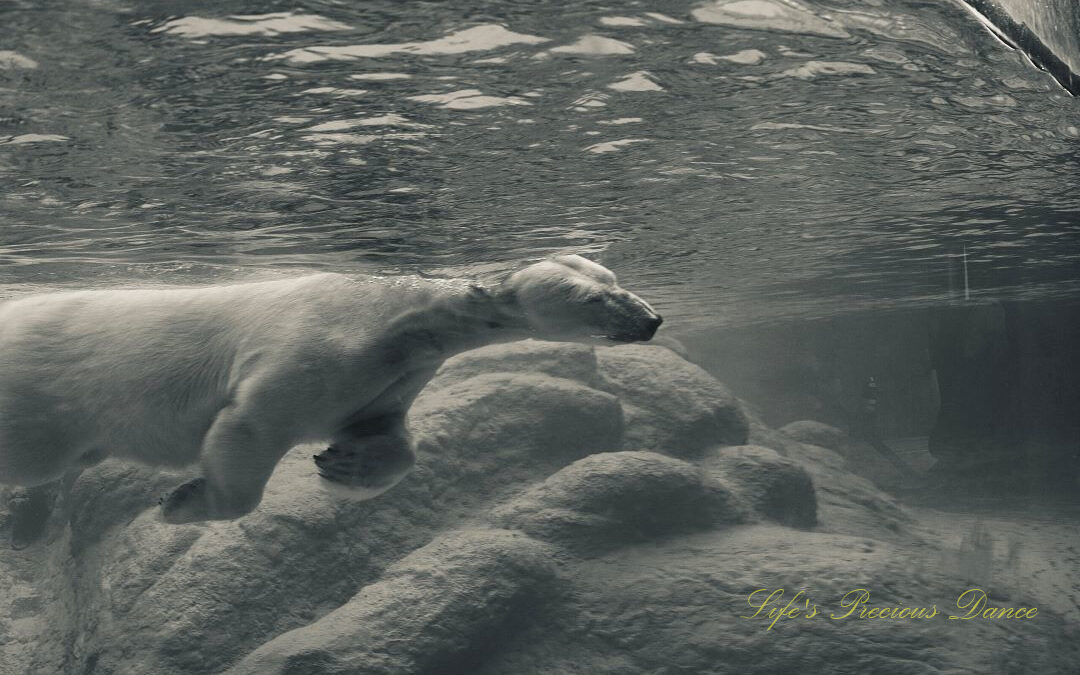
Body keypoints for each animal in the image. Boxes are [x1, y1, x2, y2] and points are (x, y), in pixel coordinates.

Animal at [0, 254, 660, 544]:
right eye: (595, 297)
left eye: (615, 278)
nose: (652, 319)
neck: (398, 314)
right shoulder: (318, 343)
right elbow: (250, 422)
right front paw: (181, 502)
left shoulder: (391, 375)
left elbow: (383, 433)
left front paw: (344, 465)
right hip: (38, 395)